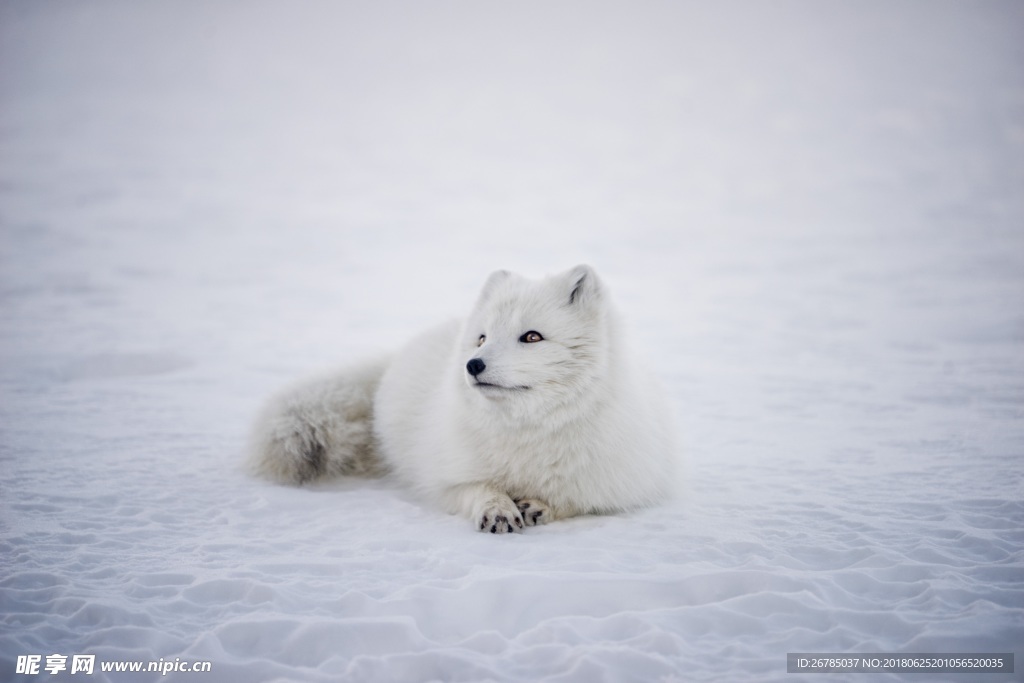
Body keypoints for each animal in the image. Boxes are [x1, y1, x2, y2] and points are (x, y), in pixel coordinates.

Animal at [248, 266, 679, 532]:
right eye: (482, 338)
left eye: (532, 337)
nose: (473, 365)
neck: (527, 432)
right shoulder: (443, 478)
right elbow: (476, 488)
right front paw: (497, 508)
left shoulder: (619, 485)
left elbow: (578, 499)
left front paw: (541, 505)